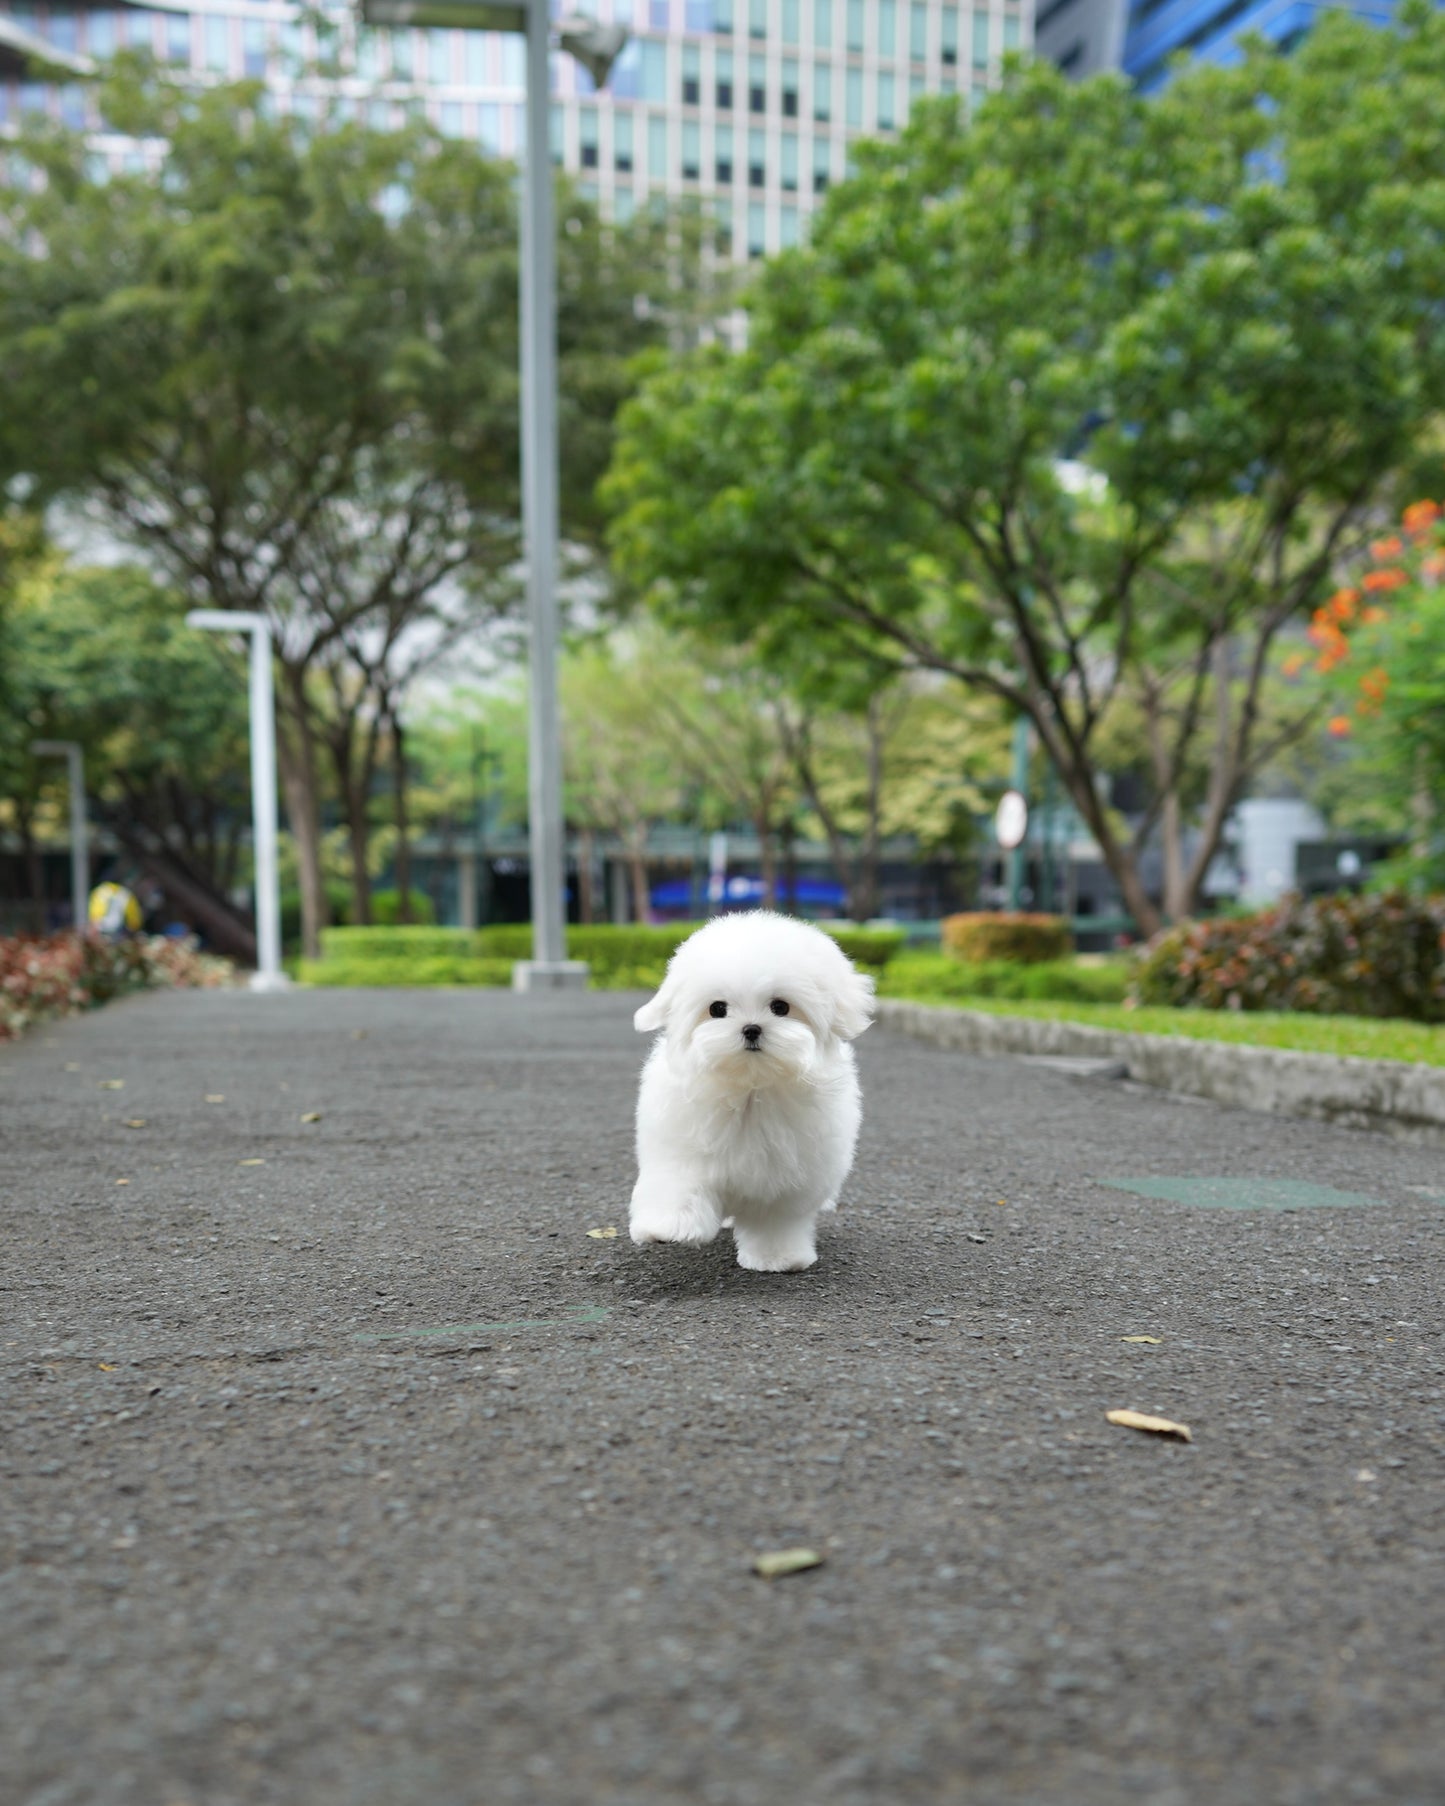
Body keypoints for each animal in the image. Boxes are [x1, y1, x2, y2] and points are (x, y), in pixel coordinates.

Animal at [628, 917, 874, 1271]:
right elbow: (680, 1181)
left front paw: (776, 1257)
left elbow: (775, 1220)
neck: (750, 1089)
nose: (752, 1029)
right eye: (717, 1009)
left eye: (780, 1007)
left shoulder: (786, 1180)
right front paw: (669, 1226)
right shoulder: (681, 1145)